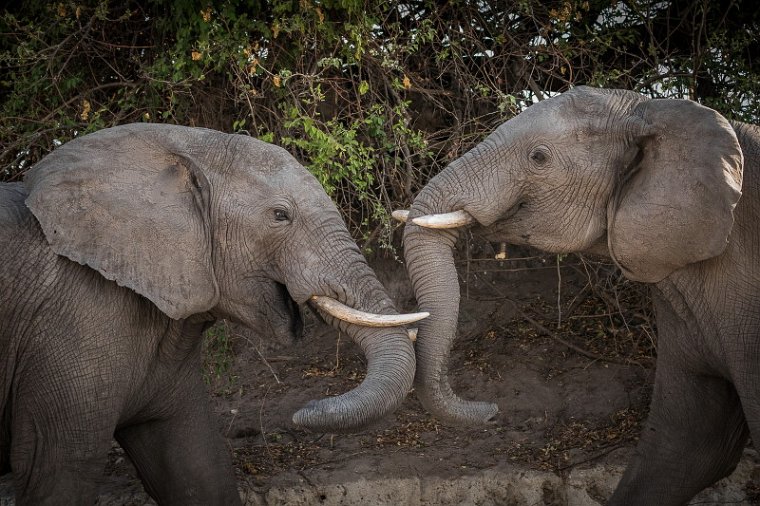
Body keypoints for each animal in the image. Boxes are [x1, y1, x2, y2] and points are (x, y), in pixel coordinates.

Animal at [0, 123, 428, 506]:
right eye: (280, 216)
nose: (301, 412)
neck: (176, 148)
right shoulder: (73, 319)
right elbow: (59, 474)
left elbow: (196, 466)